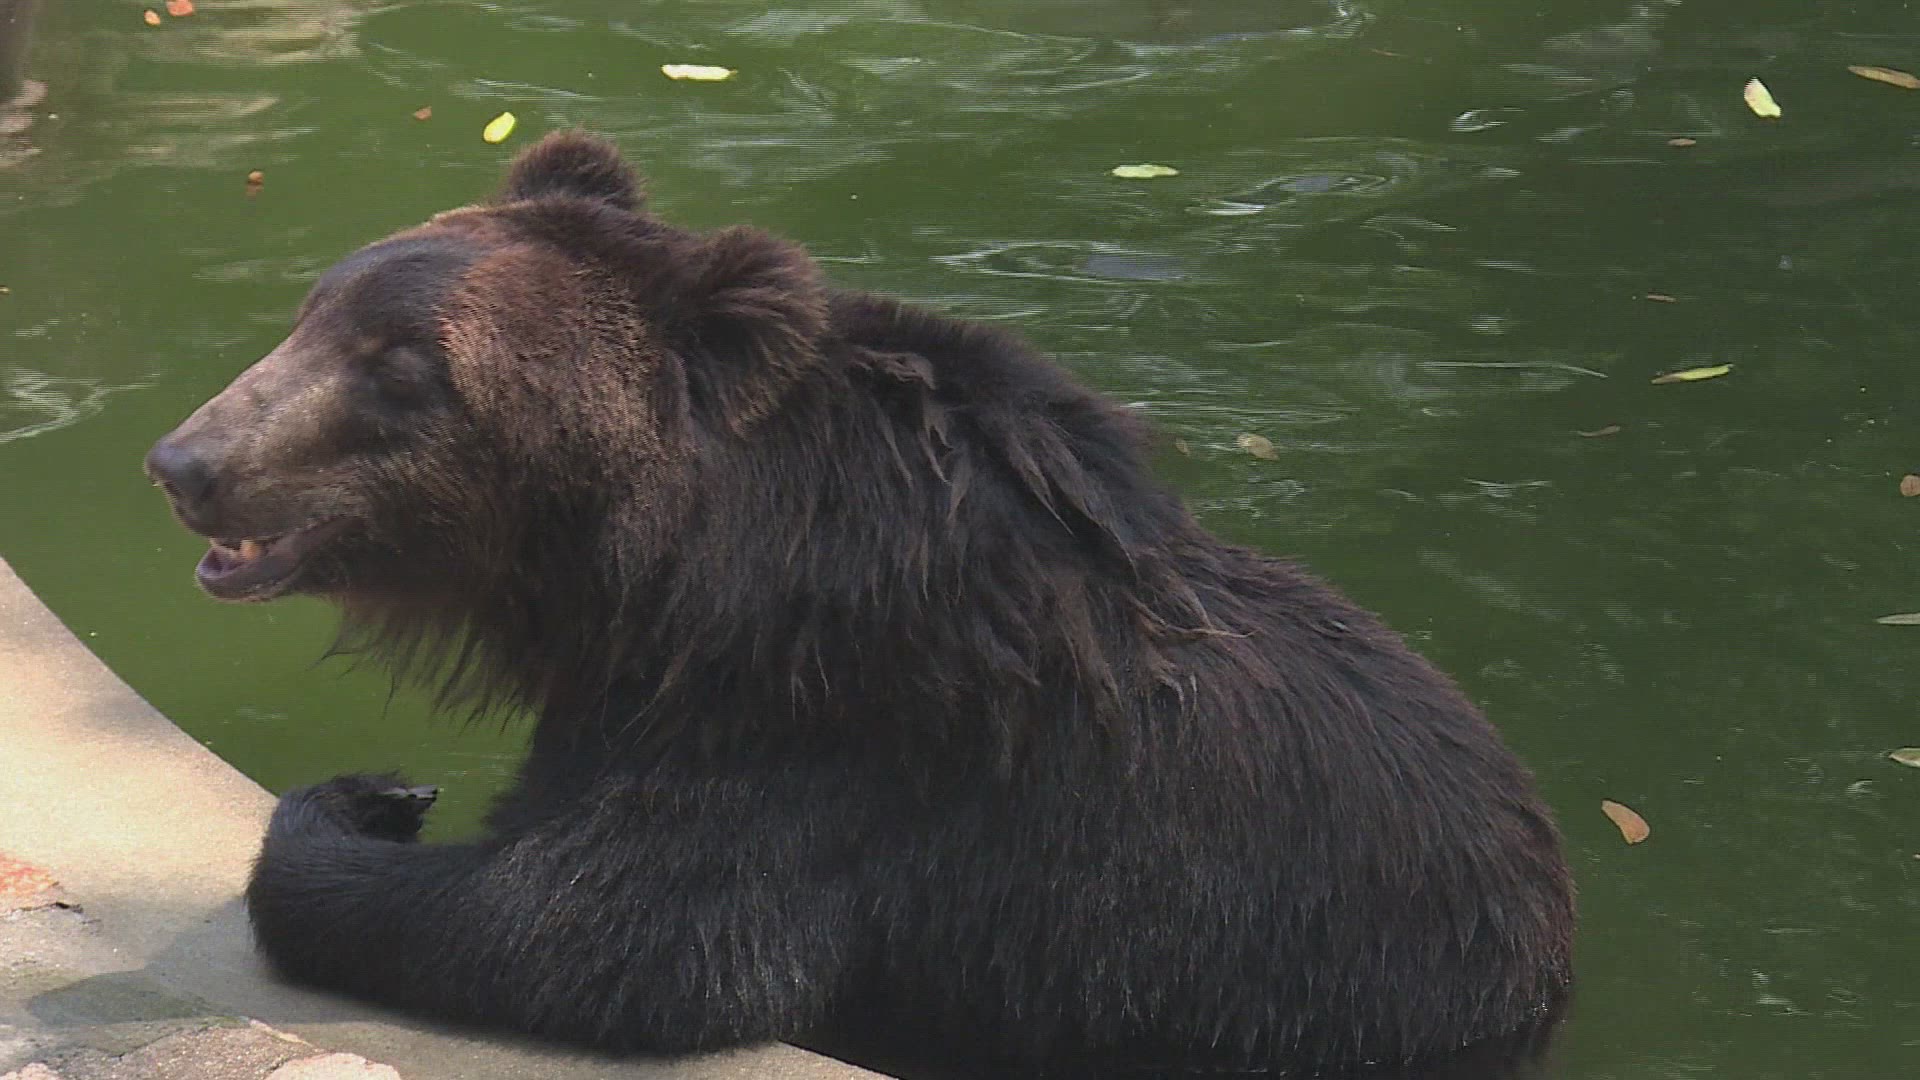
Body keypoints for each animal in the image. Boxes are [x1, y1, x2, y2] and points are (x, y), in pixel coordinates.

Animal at [144, 132, 1574, 1078]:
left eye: (404, 366)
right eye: (315, 308)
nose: (187, 461)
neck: (654, 571)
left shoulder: (832, 734)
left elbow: (606, 936)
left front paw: (357, 810)